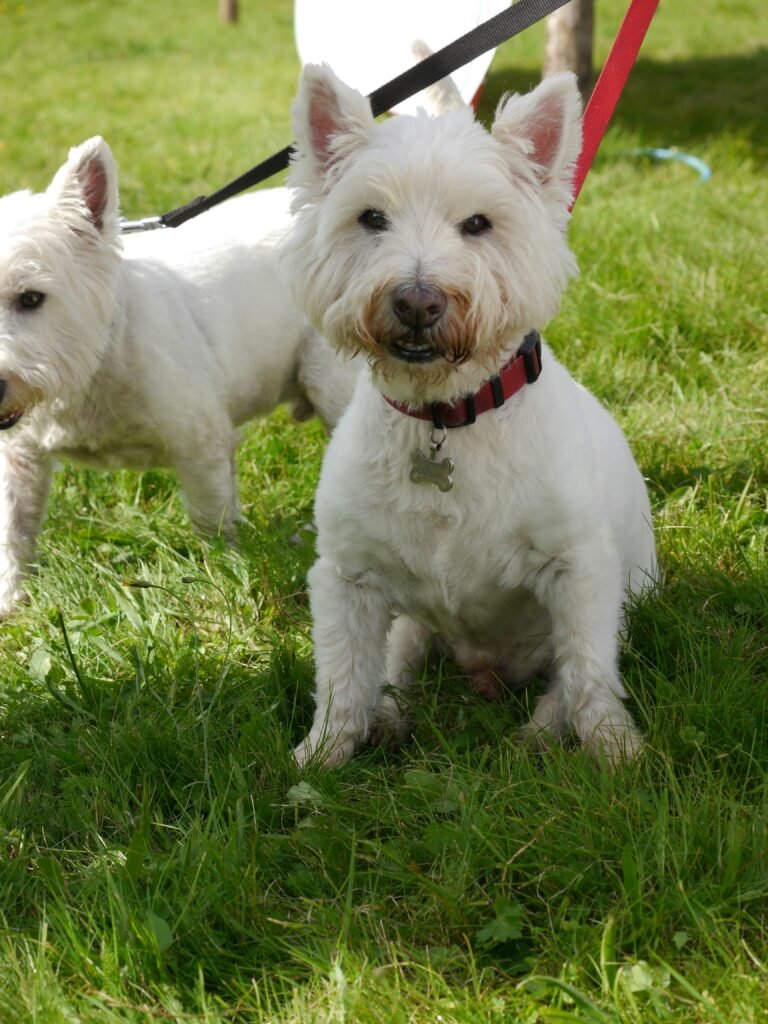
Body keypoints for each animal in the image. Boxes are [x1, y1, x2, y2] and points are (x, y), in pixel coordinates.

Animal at [0, 136, 358, 614]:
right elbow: (13, 532)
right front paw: (10, 602)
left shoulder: (201, 441)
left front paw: (220, 586)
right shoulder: (20, 457)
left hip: (333, 381)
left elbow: (212, 524)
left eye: (31, 298)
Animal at [286, 64, 659, 765]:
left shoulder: (579, 569)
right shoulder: (348, 576)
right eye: (371, 217)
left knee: (561, 678)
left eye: (479, 223)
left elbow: (589, 673)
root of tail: (489, 671)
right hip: (409, 617)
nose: (416, 301)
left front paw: (617, 751)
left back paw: (539, 735)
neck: (445, 416)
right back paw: (391, 718)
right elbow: (344, 677)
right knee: (397, 661)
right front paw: (319, 756)